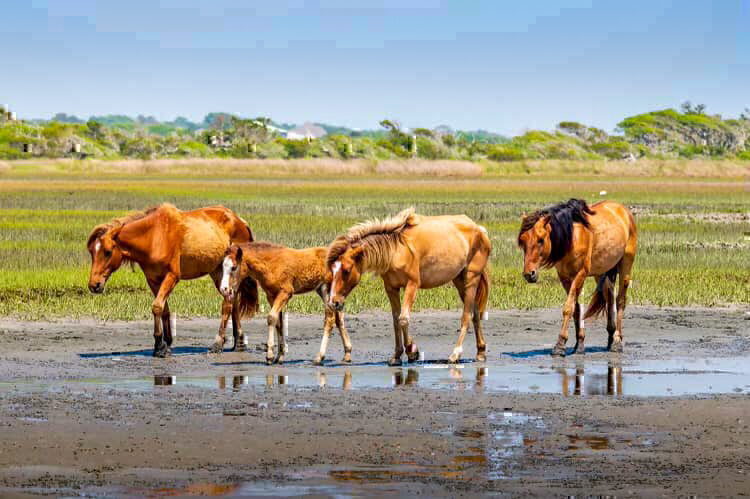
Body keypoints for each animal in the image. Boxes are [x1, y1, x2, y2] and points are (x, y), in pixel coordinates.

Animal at [86, 205, 258, 358]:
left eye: (108, 252)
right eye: (92, 252)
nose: (94, 285)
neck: (154, 236)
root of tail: (240, 221)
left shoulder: (172, 276)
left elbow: (157, 306)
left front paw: (159, 346)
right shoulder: (153, 280)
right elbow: (164, 309)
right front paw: (166, 343)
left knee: (228, 304)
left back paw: (218, 343)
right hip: (217, 272)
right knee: (233, 302)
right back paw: (238, 342)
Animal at [217, 243, 352, 366]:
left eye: (234, 267)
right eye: (222, 267)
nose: (224, 289)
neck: (270, 264)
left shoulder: (286, 292)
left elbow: (271, 318)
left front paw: (270, 356)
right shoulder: (271, 296)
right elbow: (279, 323)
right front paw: (280, 356)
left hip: (326, 289)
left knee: (330, 319)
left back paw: (319, 357)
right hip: (326, 292)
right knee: (339, 318)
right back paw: (347, 354)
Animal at [328, 208, 494, 368]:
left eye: (346, 270)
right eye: (332, 270)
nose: (334, 302)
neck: (396, 250)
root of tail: (480, 230)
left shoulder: (412, 284)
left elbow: (403, 319)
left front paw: (412, 351)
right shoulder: (391, 288)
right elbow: (395, 319)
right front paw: (396, 356)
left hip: (471, 279)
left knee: (467, 315)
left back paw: (455, 354)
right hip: (459, 281)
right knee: (475, 314)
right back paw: (480, 352)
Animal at [520, 197, 636, 358]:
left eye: (540, 239)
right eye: (522, 241)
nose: (528, 274)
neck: (571, 237)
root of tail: (624, 211)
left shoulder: (580, 273)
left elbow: (569, 307)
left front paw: (560, 344)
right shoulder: (564, 276)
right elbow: (576, 308)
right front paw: (579, 344)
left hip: (626, 265)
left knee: (620, 301)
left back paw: (617, 341)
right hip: (602, 271)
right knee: (609, 297)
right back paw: (610, 338)